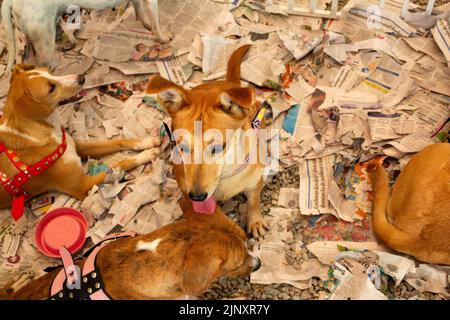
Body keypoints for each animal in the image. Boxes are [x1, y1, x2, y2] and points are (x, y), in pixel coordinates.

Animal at [0, 63, 161, 216]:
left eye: (49, 72)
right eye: (51, 88)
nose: (82, 77)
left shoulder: (77, 147)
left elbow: (117, 141)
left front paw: (146, 142)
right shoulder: (83, 185)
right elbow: (122, 163)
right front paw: (147, 154)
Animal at [147, 45, 268, 238]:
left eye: (218, 147)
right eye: (181, 146)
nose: (197, 196)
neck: (225, 175)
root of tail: (227, 83)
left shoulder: (255, 183)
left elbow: (253, 203)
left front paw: (255, 220)